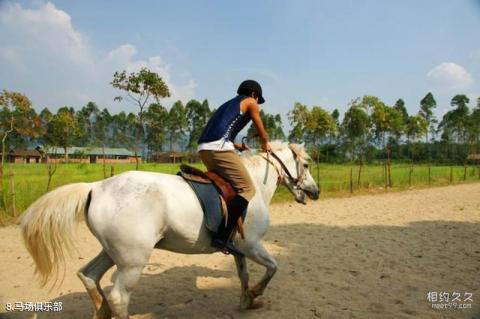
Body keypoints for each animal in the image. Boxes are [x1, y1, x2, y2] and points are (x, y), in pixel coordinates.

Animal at [21, 143, 318, 319]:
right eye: (305, 165)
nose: (315, 192)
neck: (253, 185)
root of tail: (96, 187)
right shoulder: (253, 245)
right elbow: (273, 268)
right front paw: (256, 294)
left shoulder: (239, 249)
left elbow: (243, 275)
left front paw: (247, 301)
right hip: (132, 262)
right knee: (119, 297)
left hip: (113, 253)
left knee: (89, 275)